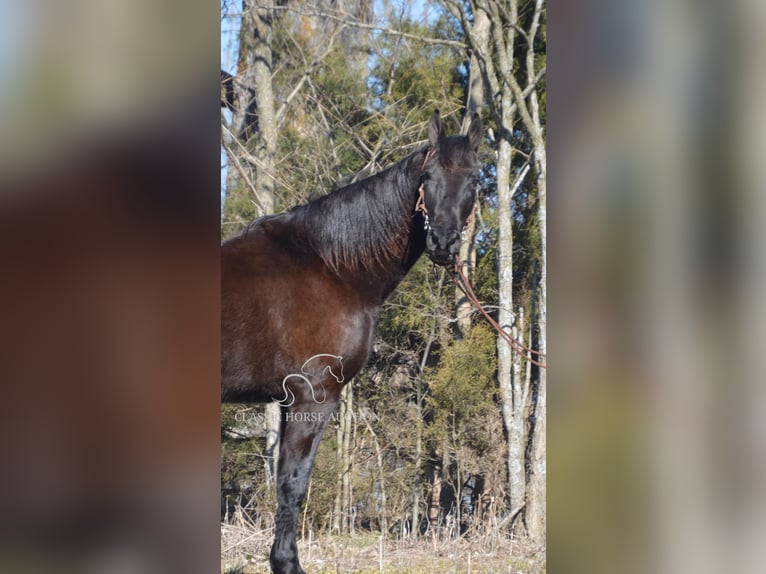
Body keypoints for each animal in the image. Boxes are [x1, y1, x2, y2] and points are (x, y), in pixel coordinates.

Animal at [220, 110, 480, 572]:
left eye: (476, 179)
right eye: (427, 176)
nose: (444, 242)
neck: (331, 265)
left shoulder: (289, 400)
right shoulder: (314, 396)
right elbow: (292, 484)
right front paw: (287, 563)